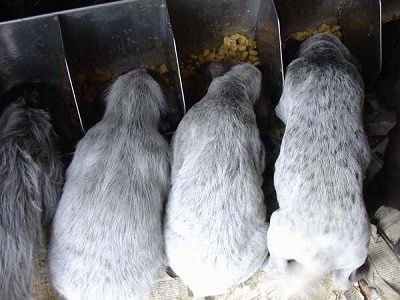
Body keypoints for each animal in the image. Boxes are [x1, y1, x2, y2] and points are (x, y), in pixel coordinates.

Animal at [270, 33, 370, 292]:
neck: (325, 57)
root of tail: (322, 257)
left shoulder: (285, 96)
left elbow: (280, 108)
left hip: (277, 228)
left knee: (281, 266)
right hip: (355, 257)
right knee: (343, 280)